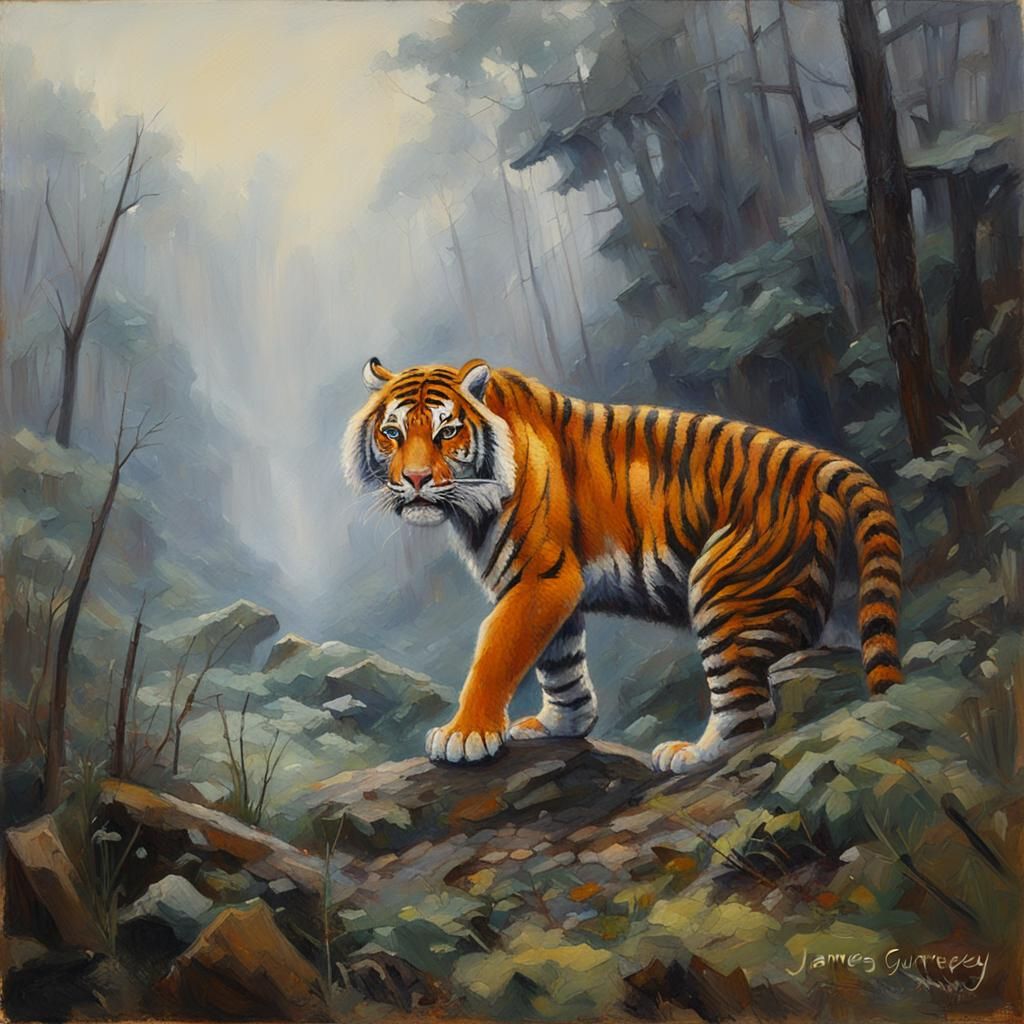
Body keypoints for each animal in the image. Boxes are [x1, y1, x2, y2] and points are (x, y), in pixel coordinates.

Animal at [343, 358, 902, 774]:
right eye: (392, 433)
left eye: (447, 432)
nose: (415, 480)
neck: (470, 504)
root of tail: (814, 460)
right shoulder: (550, 587)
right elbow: (560, 666)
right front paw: (558, 726)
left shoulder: (539, 577)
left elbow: (496, 653)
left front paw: (466, 735)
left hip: (724, 591)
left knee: (747, 711)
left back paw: (690, 755)